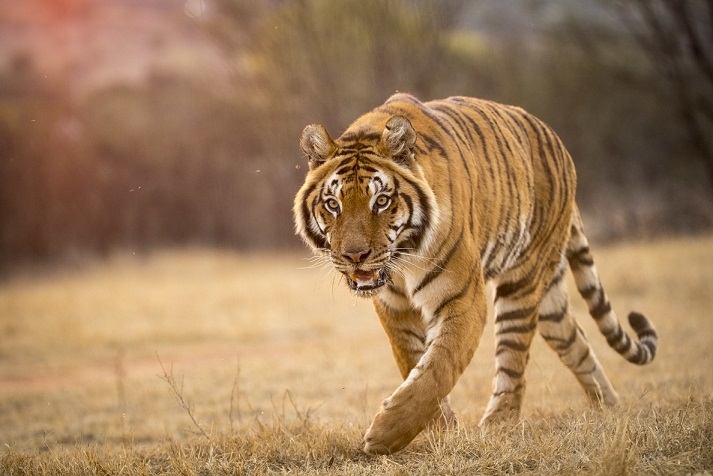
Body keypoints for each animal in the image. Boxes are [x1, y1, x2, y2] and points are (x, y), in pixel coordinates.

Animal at [293, 93, 658, 455]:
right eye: (333, 204)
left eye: (381, 201)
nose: (355, 256)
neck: (403, 260)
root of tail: (558, 143)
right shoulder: (394, 308)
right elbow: (413, 361)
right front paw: (439, 429)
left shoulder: (463, 298)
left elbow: (439, 367)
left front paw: (387, 433)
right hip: (550, 300)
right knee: (576, 343)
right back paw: (611, 410)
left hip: (521, 284)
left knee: (513, 363)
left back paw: (497, 425)